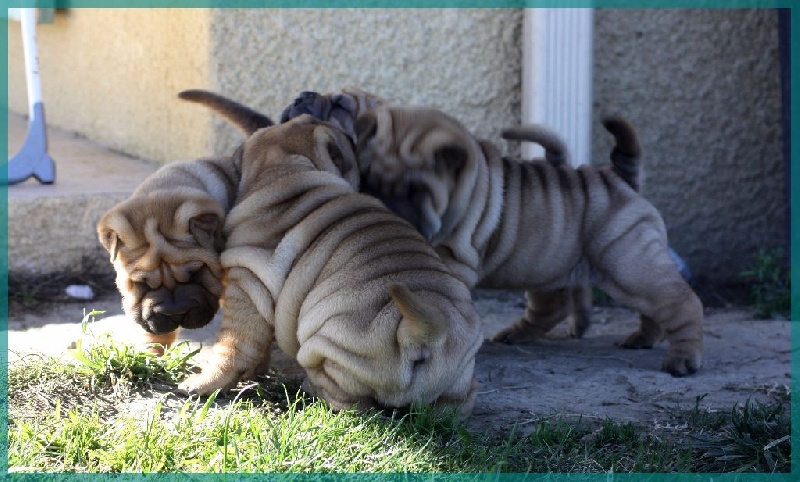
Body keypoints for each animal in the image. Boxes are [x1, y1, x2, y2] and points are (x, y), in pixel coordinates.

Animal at [179, 116, 484, 418]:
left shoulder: (246, 283)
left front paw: (203, 382)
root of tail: (426, 330)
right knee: (457, 404)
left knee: (350, 402)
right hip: (457, 377)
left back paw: (311, 390)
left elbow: (232, 346)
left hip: (331, 347)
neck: (285, 172)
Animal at [354, 107, 704, 378]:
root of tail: (618, 177)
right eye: (368, 178)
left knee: (679, 301)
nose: (382, 204)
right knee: (556, 308)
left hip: (628, 262)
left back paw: (683, 359)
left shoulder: (452, 258)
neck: (466, 189)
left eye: (415, 192)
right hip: (550, 265)